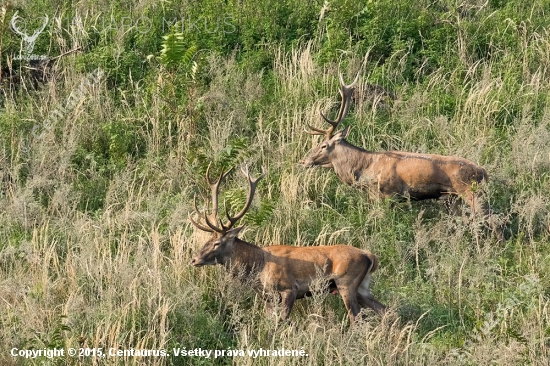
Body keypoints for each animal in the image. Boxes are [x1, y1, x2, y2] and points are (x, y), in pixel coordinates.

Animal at [190, 163, 388, 324]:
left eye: (217, 243)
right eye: (207, 240)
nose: (194, 259)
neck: (257, 266)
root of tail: (370, 256)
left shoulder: (289, 288)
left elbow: (283, 320)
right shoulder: (268, 297)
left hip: (346, 282)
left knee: (356, 317)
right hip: (362, 287)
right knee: (384, 310)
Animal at [304, 73, 502, 233]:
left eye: (323, 145)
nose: (304, 161)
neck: (365, 169)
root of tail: (483, 172)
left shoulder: (388, 193)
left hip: (471, 191)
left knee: (493, 221)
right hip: (454, 198)